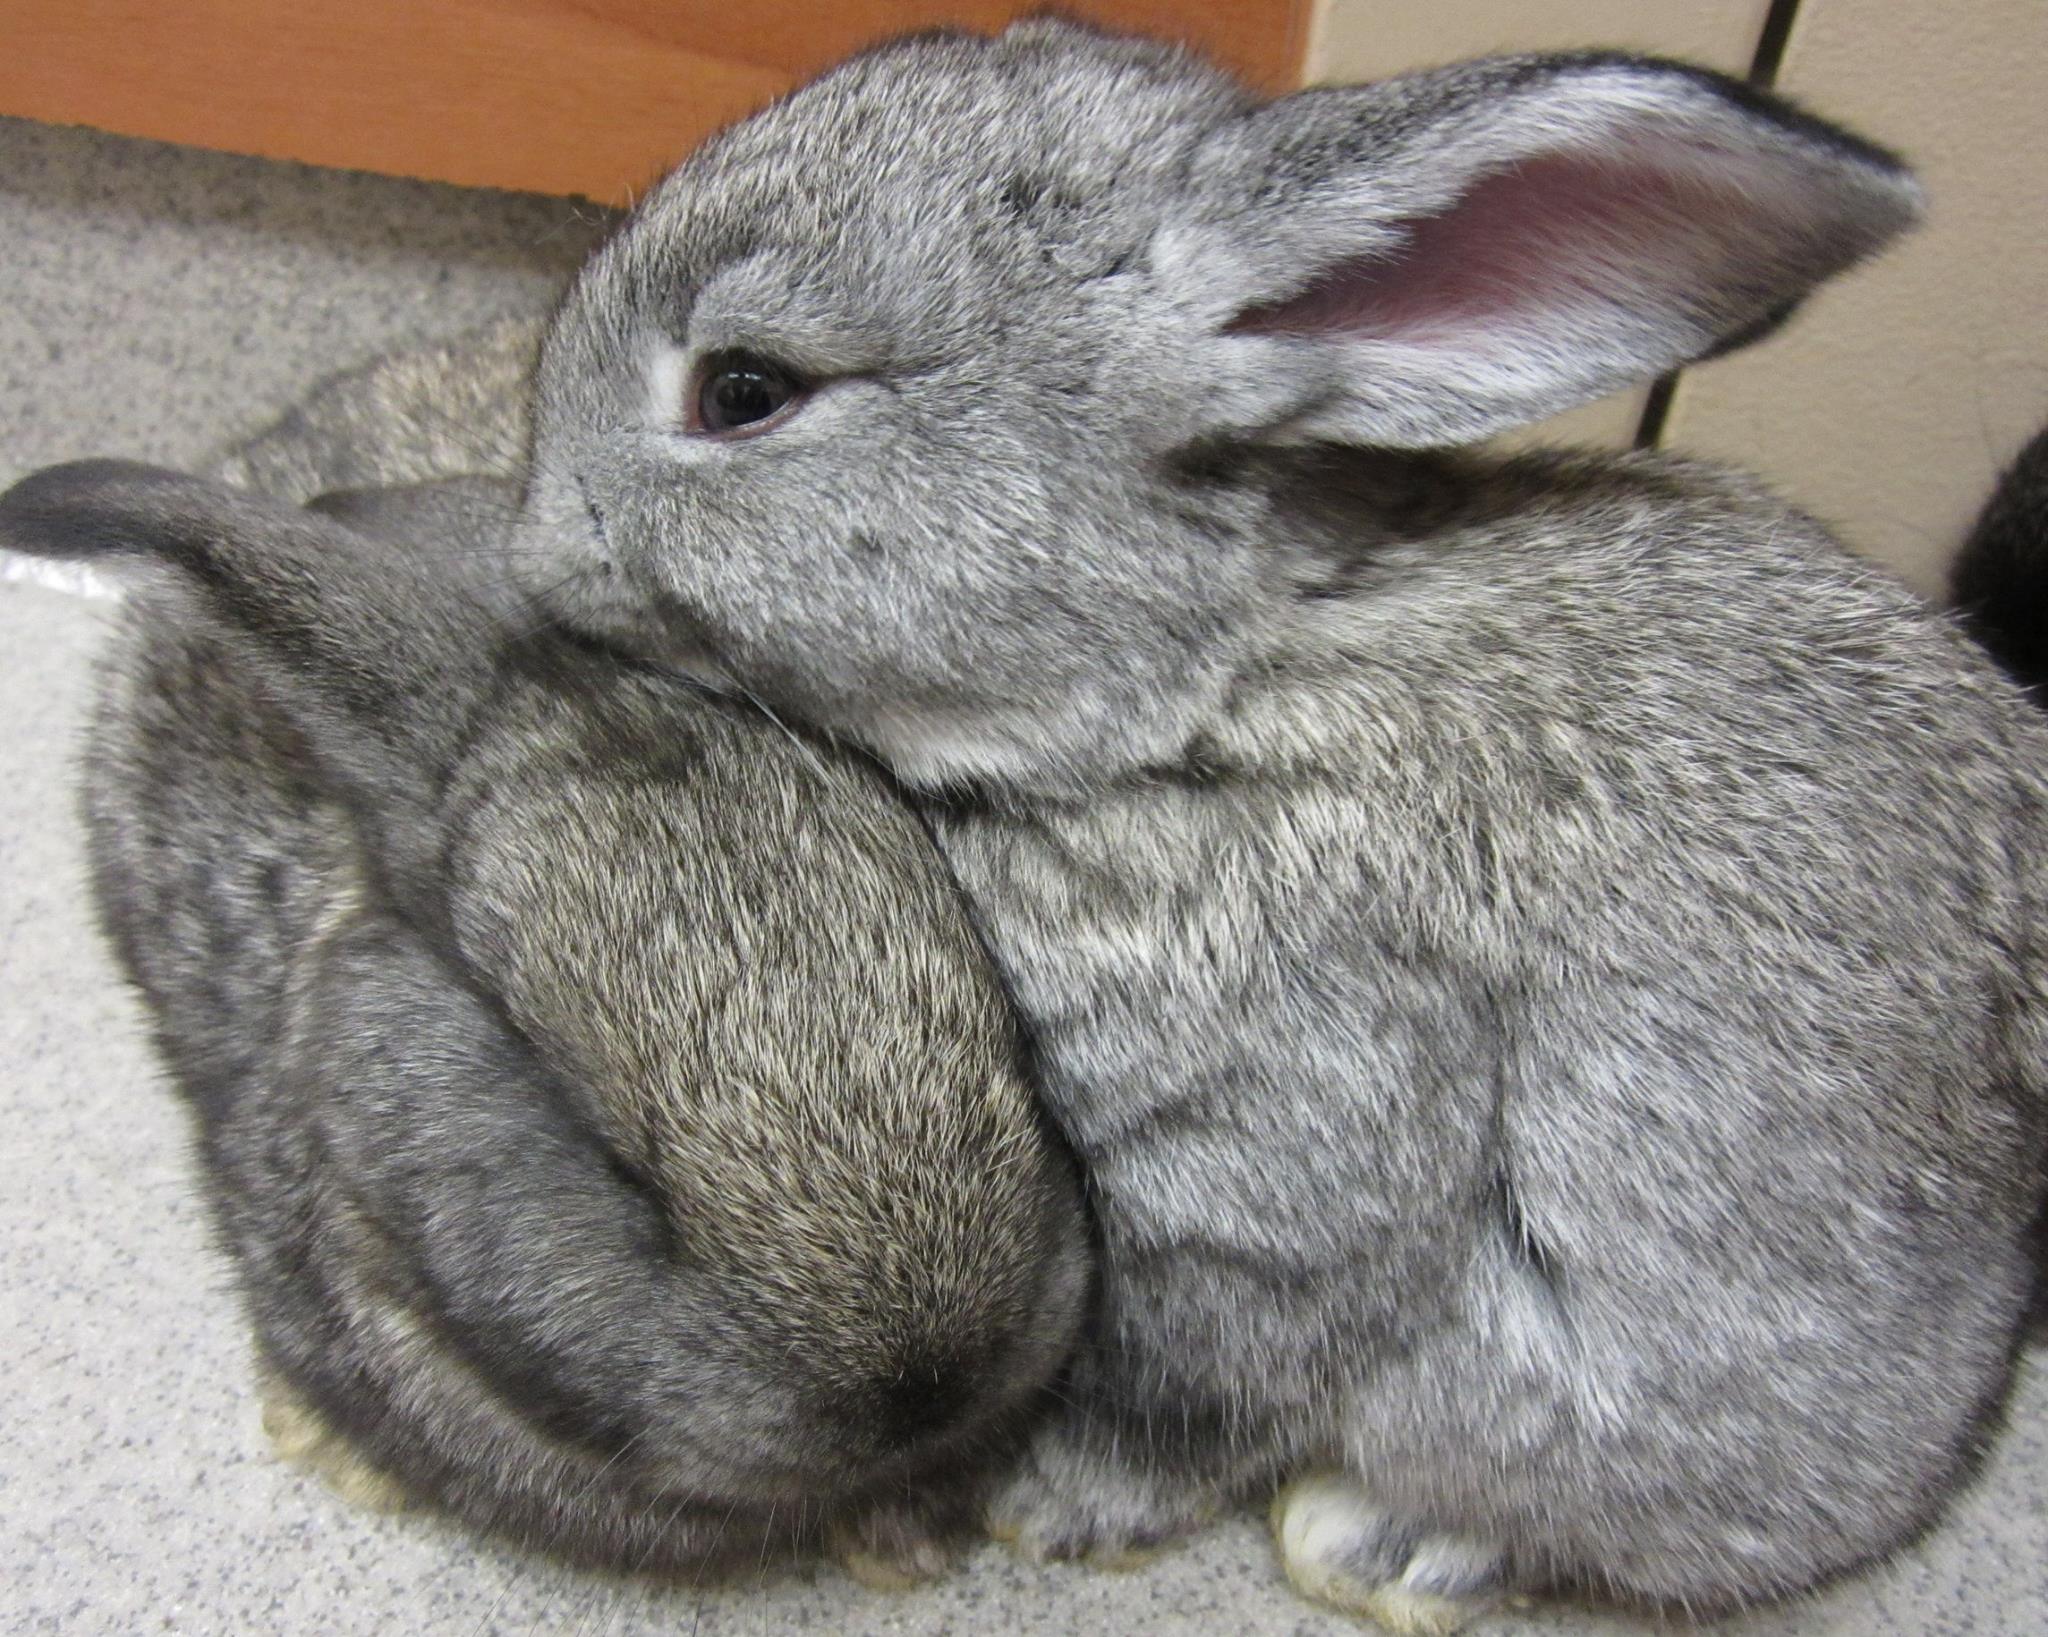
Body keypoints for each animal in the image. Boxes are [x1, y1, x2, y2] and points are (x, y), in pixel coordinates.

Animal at [495, 17, 2048, 1630]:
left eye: (744, 390)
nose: (529, 543)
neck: (1195, 691)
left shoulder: (1271, 1165)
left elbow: (1194, 1391)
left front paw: (1047, 1507)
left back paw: (1383, 1544)